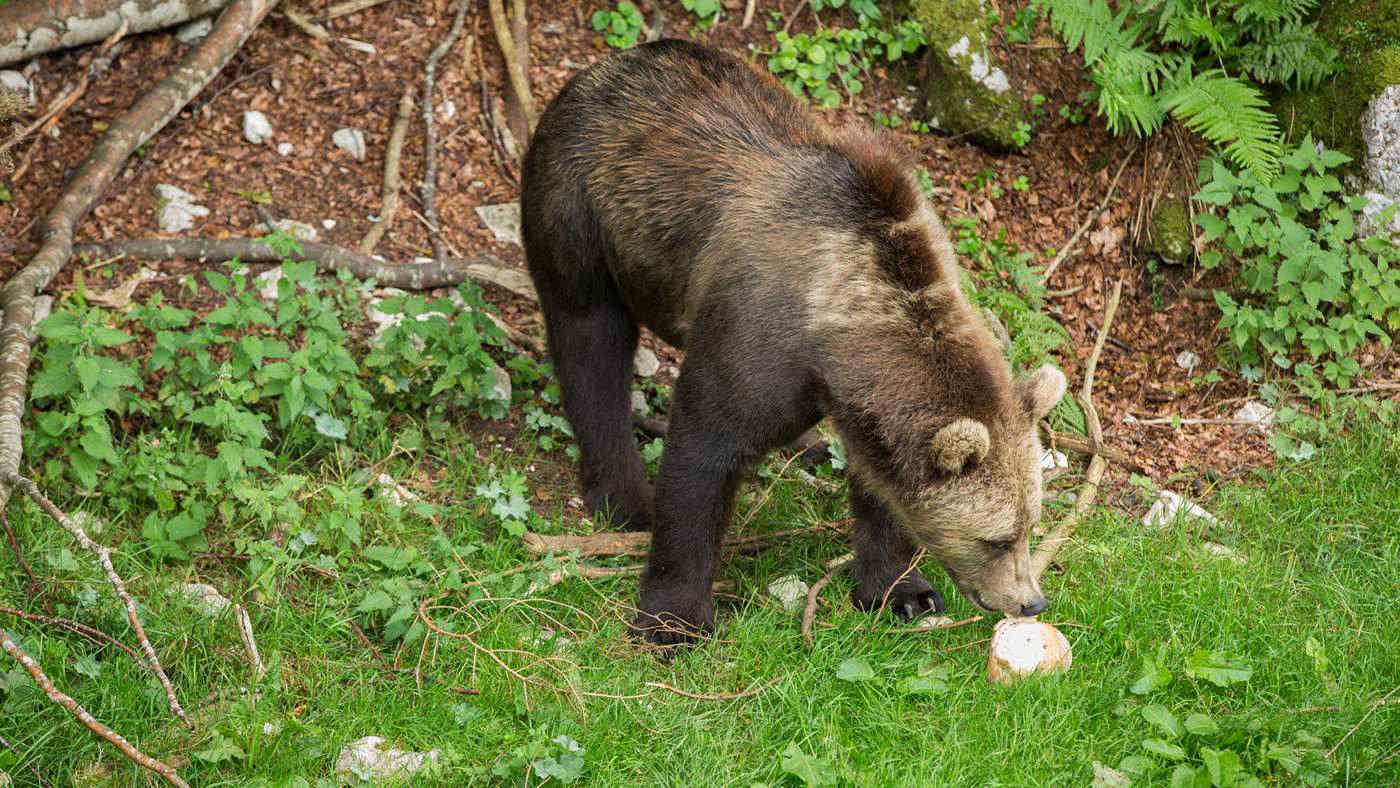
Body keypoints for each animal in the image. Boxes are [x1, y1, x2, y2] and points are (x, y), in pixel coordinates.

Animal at [520, 40, 1065, 646]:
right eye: (996, 538)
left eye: (1031, 523)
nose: (1030, 601)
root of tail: (602, 68)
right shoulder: (757, 342)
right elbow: (703, 457)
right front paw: (675, 620)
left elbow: (880, 485)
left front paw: (902, 590)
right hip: (580, 214)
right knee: (589, 342)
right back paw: (624, 497)